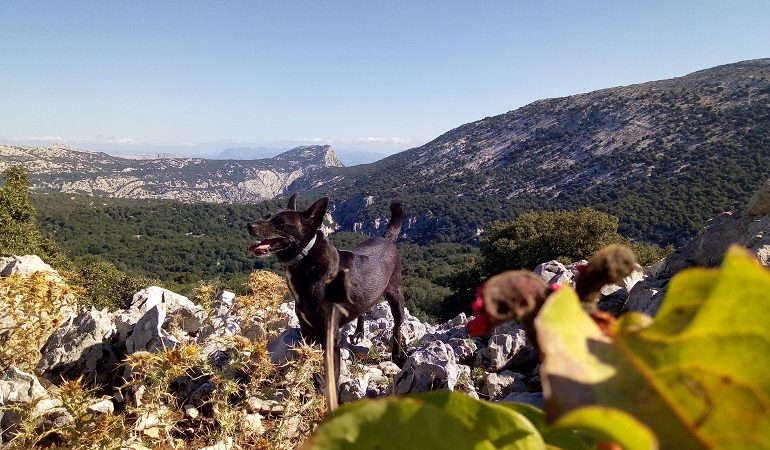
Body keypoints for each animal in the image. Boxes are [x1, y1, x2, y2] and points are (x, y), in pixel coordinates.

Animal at [248, 195, 408, 382]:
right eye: (267, 216)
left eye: (280, 222)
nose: (249, 225)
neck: (308, 260)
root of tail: (387, 239)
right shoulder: (307, 333)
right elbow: (312, 364)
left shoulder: (330, 338)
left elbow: (332, 376)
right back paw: (359, 333)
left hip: (396, 295)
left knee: (397, 326)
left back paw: (396, 355)